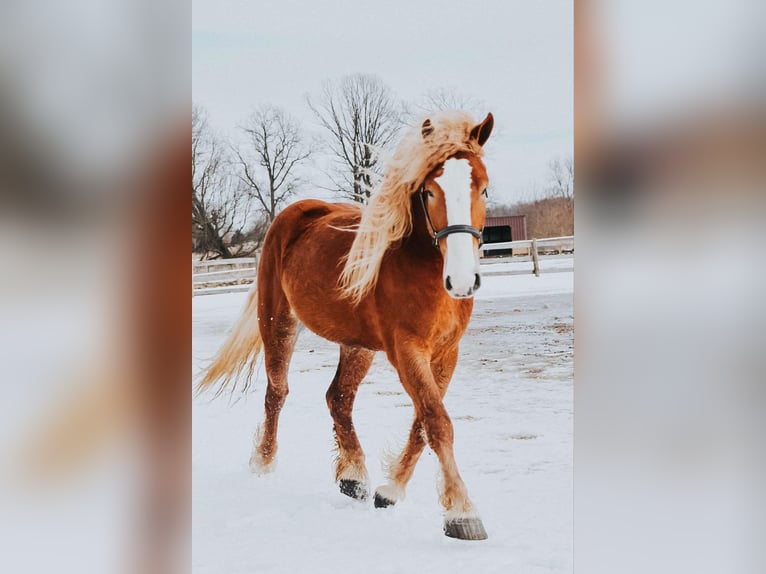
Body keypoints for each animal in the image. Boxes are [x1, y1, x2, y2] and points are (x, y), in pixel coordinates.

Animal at [196, 110, 494, 540]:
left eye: (484, 189)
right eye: (429, 191)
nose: (462, 280)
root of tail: (295, 214)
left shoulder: (445, 353)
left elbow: (423, 423)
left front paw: (390, 491)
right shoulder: (407, 350)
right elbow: (437, 421)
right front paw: (463, 514)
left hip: (358, 345)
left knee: (337, 398)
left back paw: (353, 477)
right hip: (278, 323)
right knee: (277, 392)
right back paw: (264, 462)